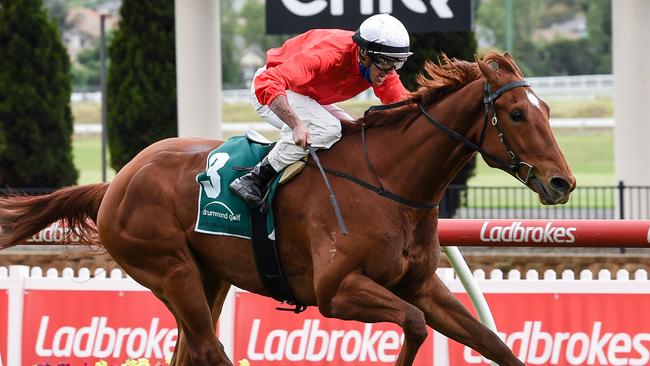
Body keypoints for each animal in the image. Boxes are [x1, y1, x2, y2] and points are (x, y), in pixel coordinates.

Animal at [2, 53, 576, 364]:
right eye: (517, 113)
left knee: (190, 350)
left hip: (209, 277)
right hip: (169, 269)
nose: (562, 182)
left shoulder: (420, 285)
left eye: (548, 109)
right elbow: (414, 327)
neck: (389, 184)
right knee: (208, 350)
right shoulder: (336, 291)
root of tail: (118, 180)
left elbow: (493, 343)